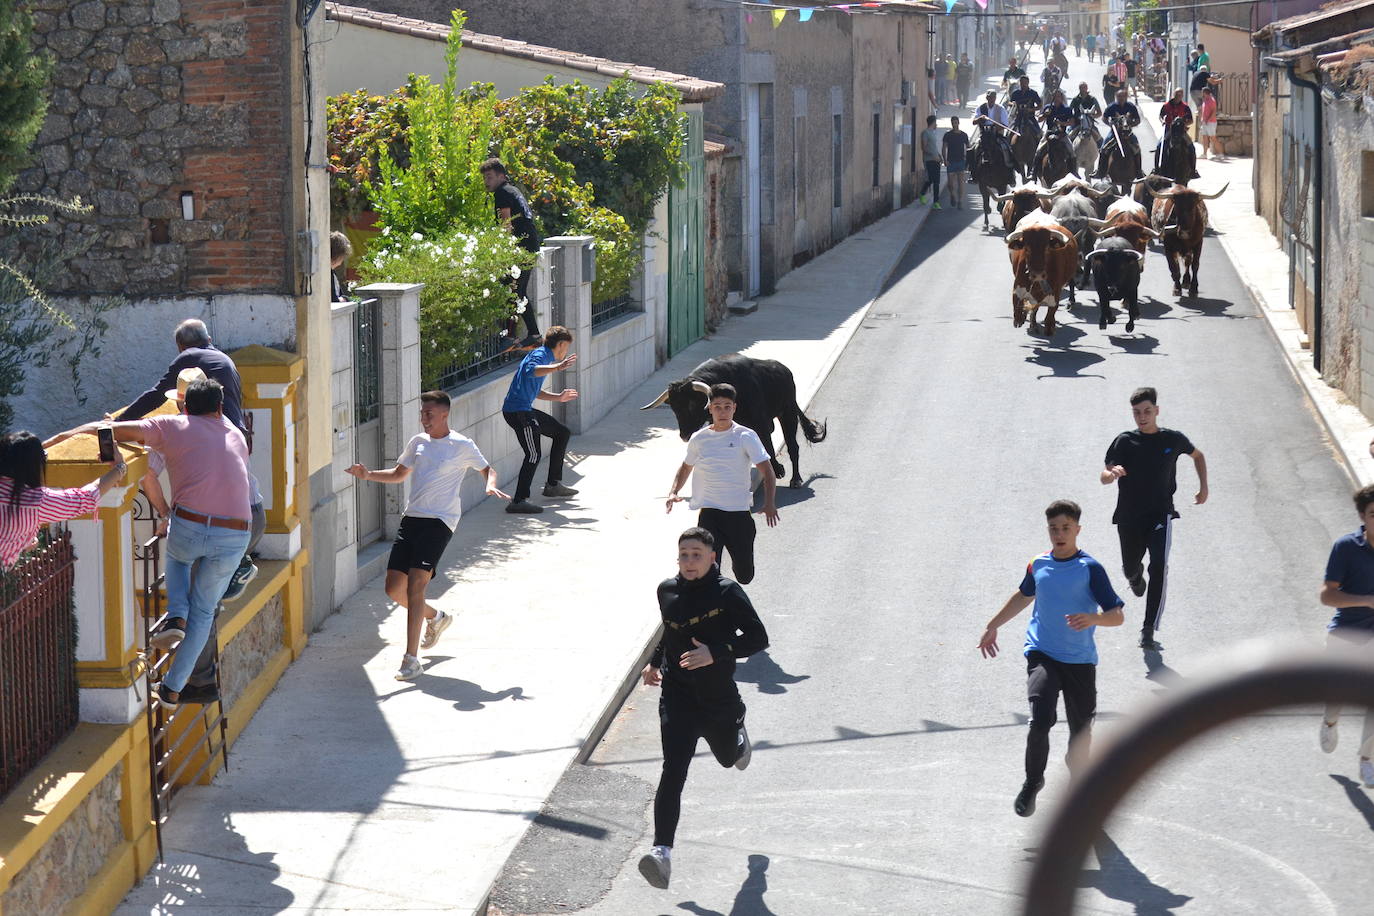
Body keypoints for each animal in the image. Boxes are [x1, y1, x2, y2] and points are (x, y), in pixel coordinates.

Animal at [640, 354, 824, 491]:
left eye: (691, 404)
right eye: (674, 408)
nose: (684, 435)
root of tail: (785, 371)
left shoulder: (760, 422)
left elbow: (768, 445)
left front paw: (778, 470)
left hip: (787, 412)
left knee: (793, 446)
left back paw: (796, 480)